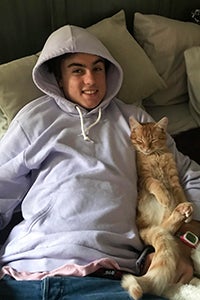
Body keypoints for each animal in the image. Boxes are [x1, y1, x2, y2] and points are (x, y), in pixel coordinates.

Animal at [121, 116, 193, 300]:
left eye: (153, 140)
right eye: (140, 141)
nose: (146, 149)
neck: (156, 156)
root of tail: (142, 228)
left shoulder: (174, 181)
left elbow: (180, 193)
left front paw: (189, 213)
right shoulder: (144, 179)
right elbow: (156, 184)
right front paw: (164, 196)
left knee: (166, 226)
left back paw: (183, 210)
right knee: (164, 226)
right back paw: (176, 209)